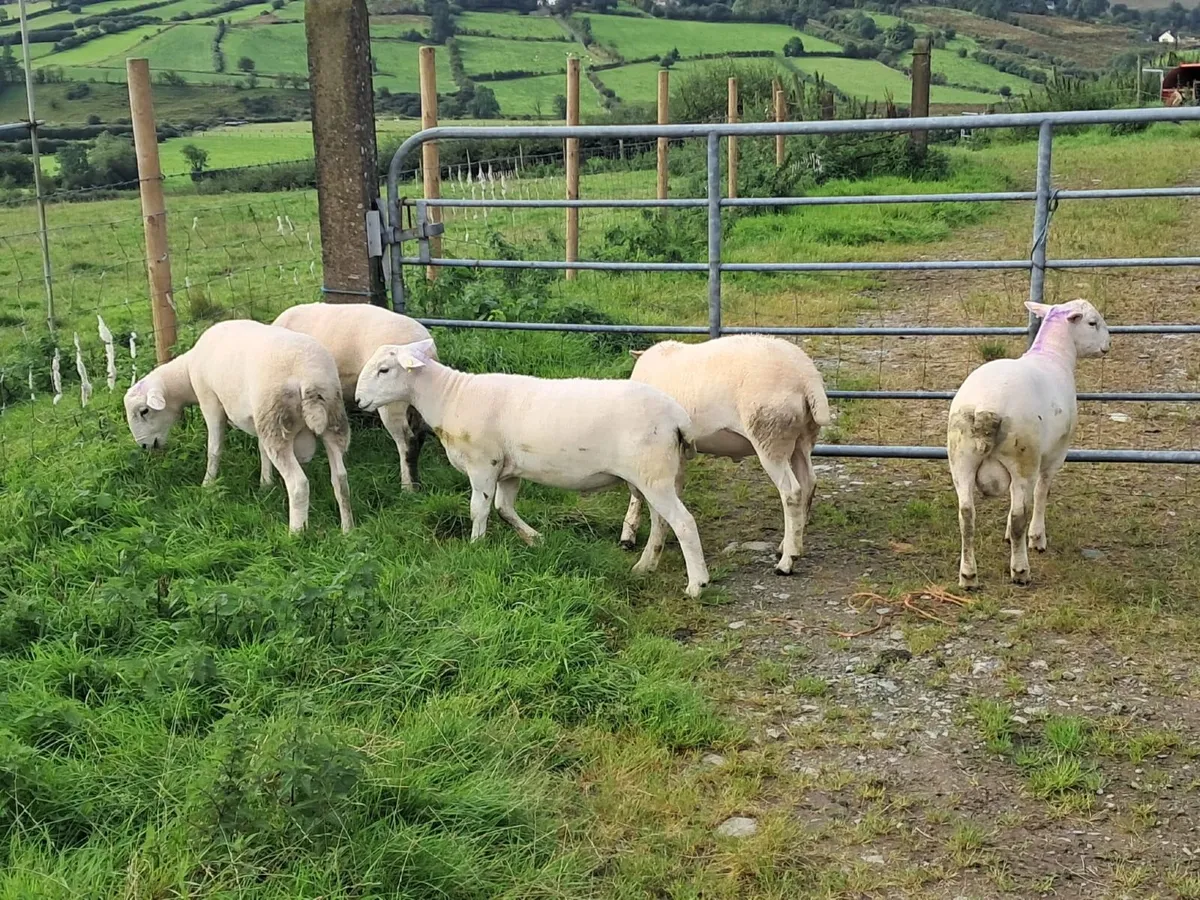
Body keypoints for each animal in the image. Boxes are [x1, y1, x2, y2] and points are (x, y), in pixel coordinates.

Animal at [123, 319, 354, 534]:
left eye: (144, 411)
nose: (144, 446)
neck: (186, 375)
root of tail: (310, 379)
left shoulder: (210, 401)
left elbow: (214, 449)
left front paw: (207, 485)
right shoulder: (257, 419)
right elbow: (262, 450)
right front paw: (265, 483)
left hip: (277, 423)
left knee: (298, 484)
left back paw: (296, 533)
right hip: (332, 421)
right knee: (340, 479)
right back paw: (347, 529)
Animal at [355, 339, 711, 597]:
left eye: (384, 370)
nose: (357, 401)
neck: (449, 397)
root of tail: (678, 418)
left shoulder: (483, 464)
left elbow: (479, 510)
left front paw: (476, 547)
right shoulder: (509, 470)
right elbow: (504, 508)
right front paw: (535, 540)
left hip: (654, 474)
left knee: (683, 522)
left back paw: (697, 584)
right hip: (655, 475)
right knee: (662, 522)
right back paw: (645, 566)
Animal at [619, 335, 832, 576]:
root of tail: (807, 377)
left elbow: (638, 491)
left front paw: (631, 536)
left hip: (770, 435)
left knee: (791, 492)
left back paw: (787, 561)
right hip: (802, 438)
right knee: (808, 483)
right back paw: (788, 544)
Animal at [947, 299, 1111, 589]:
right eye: (1093, 323)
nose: (1108, 343)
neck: (1052, 355)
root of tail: (986, 409)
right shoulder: (1055, 455)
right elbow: (1041, 493)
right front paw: (1036, 538)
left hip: (960, 458)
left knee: (966, 515)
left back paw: (968, 575)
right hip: (1024, 456)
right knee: (1018, 516)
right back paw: (1020, 570)